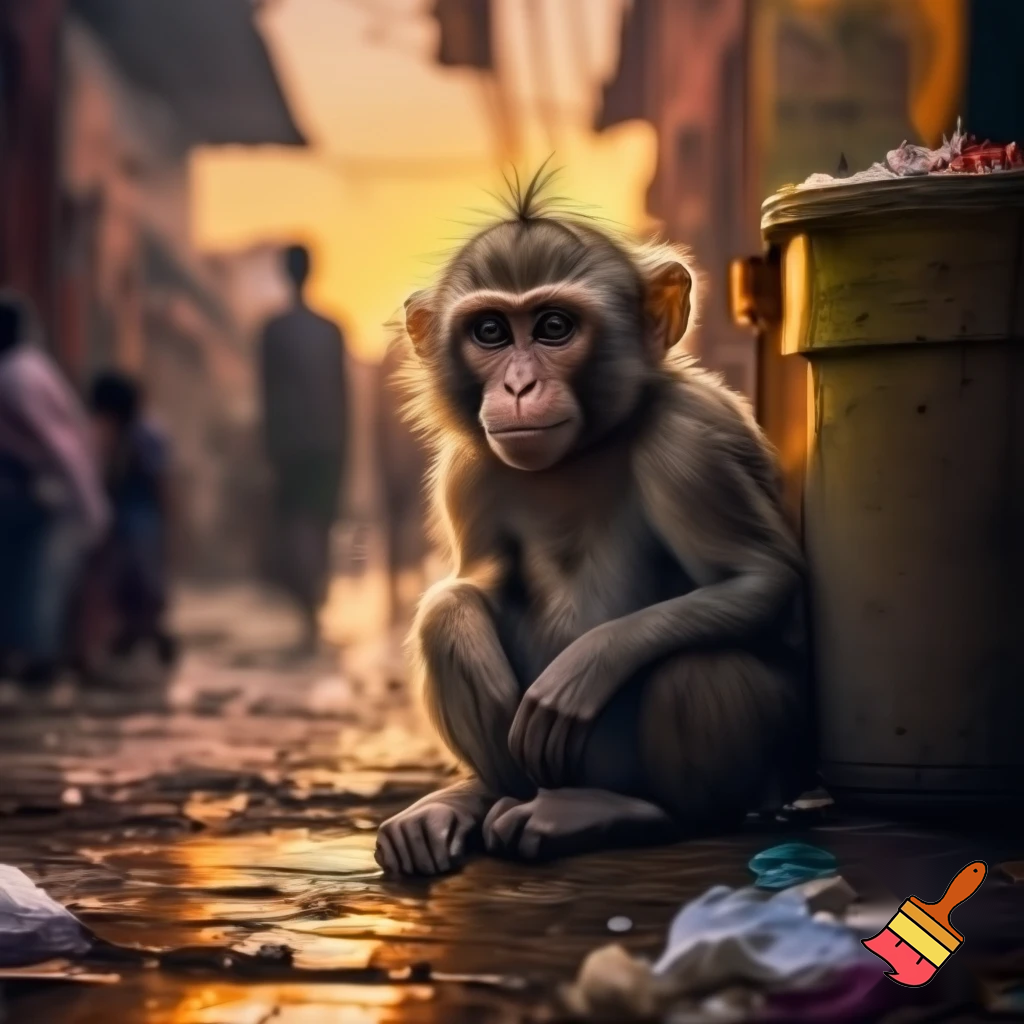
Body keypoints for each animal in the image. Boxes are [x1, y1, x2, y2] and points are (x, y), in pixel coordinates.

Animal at [374, 168, 809, 877]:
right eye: (490, 333)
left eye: (554, 327)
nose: (518, 387)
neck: (584, 450)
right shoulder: (466, 471)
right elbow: (473, 587)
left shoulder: (688, 438)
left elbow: (763, 581)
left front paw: (586, 666)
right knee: (446, 613)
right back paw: (479, 795)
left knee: (696, 667)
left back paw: (633, 813)